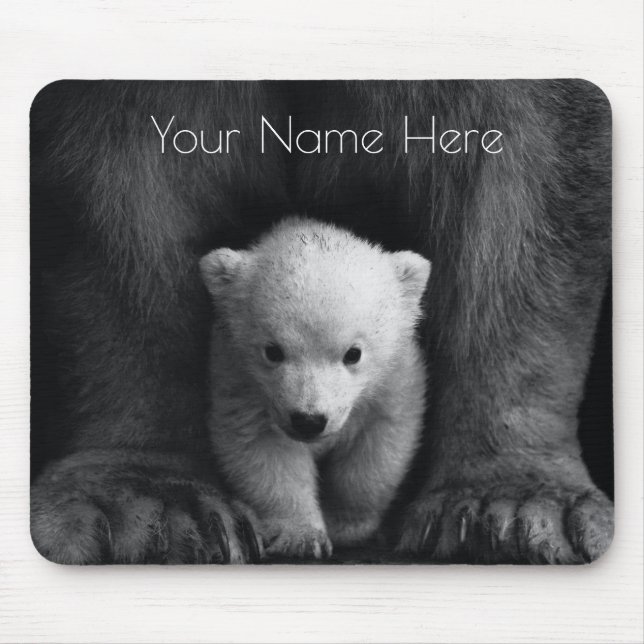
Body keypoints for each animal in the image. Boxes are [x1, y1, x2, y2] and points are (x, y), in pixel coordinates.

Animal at [199, 217, 430, 559]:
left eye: (353, 353)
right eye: (273, 351)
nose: (308, 421)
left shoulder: (394, 381)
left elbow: (378, 448)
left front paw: (346, 525)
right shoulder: (240, 383)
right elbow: (265, 452)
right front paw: (302, 537)